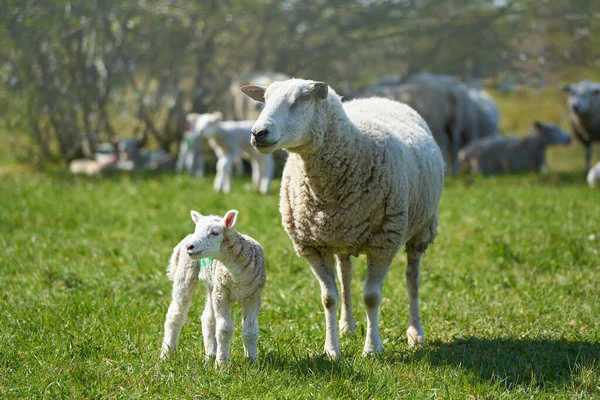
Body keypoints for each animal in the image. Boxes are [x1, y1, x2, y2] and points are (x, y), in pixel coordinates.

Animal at [159, 209, 264, 366]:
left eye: (215, 233)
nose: (189, 247)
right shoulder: (222, 293)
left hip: (212, 285)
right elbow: (224, 329)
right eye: (197, 229)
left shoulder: (253, 295)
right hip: (186, 274)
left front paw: (252, 362)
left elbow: (250, 330)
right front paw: (222, 364)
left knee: (208, 318)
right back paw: (166, 355)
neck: (237, 277)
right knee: (175, 314)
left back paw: (210, 355)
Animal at [240, 78, 446, 360]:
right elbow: (329, 298)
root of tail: (379, 98)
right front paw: (332, 349)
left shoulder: (384, 243)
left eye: (301, 99)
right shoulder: (313, 246)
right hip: (340, 235)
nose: (258, 133)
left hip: (422, 228)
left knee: (412, 279)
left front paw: (373, 348)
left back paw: (415, 333)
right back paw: (347, 326)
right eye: (264, 100)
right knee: (345, 275)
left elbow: (371, 297)